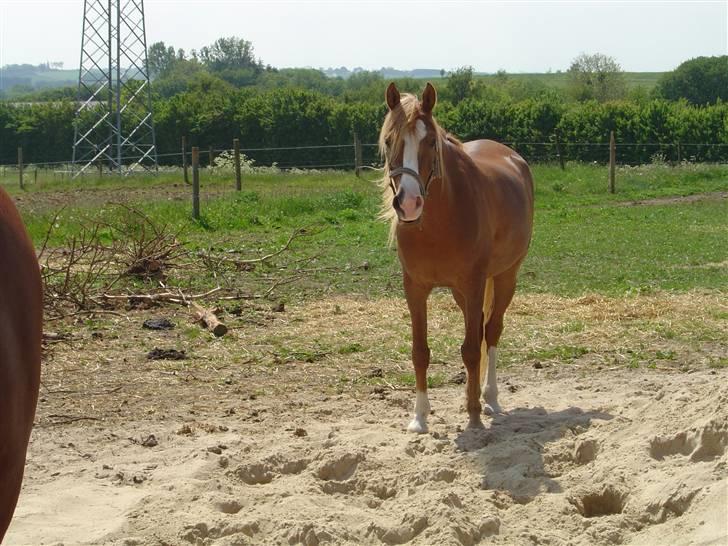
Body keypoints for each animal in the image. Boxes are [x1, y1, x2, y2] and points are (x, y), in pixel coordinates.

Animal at [382, 82, 536, 430]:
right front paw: (419, 417)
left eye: (430, 141)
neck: (440, 223)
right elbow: (420, 351)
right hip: (459, 292)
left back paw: (488, 398)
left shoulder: (475, 283)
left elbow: (472, 349)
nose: (408, 204)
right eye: (388, 141)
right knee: (479, 330)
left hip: (505, 277)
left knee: (491, 332)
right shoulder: (415, 288)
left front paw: (475, 415)